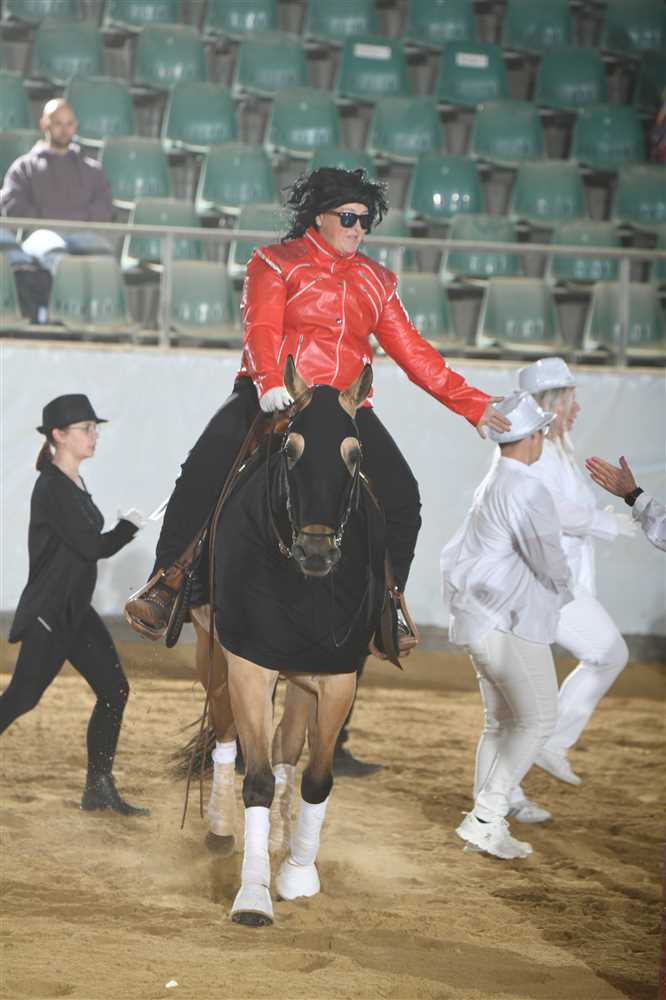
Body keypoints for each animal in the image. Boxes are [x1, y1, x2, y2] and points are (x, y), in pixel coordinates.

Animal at [210, 357, 386, 926]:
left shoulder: (336, 679)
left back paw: (280, 841)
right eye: (291, 450)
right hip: (213, 655)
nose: (316, 552)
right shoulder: (248, 666)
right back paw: (220, 829)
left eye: (356, 456)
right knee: (224, 736)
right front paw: (253, 895)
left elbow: (315, 778)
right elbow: (258, 779)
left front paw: (297, 873)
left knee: (287, 749)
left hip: (303, 681)